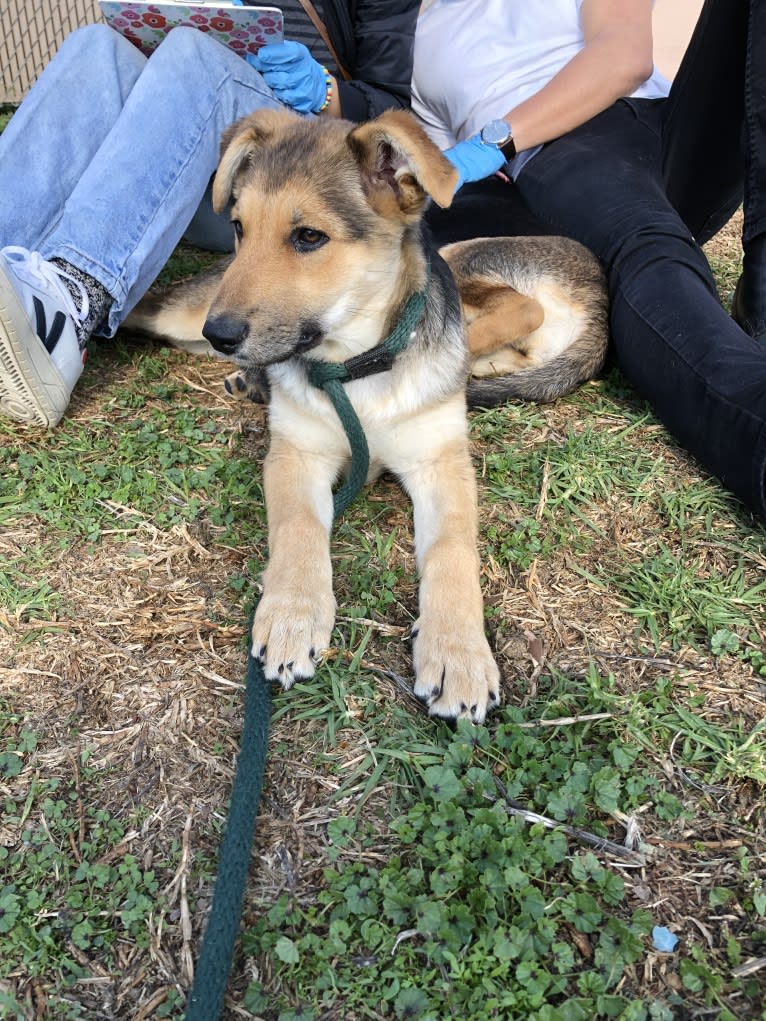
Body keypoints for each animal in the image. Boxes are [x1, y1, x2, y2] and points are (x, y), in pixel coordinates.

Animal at [129, 107, 608, 722]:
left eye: (309, 236)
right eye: (239, 226)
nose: (224, 335)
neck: (357, 370)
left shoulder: (442, 463)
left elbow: (453, 551)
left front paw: (458, 653)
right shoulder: (296, 454)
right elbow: (298, 526)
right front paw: (292, 614)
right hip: (189, 315)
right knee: (145, 310)